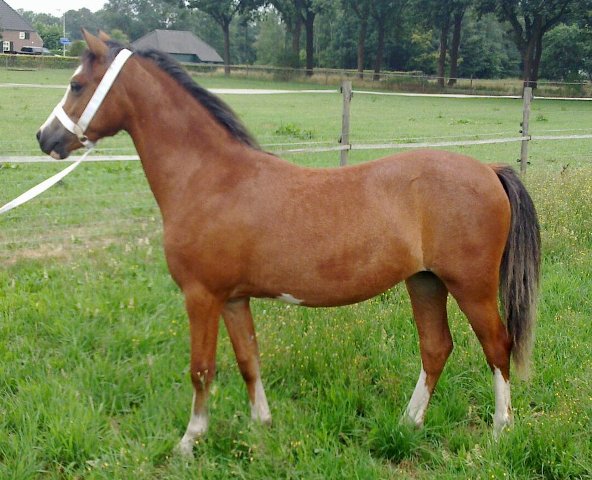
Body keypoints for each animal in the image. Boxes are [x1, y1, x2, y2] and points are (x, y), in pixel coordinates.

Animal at [37, 31, 540, 456]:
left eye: (77, 84)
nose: (45, 138)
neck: (210, 178)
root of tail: (489, 169)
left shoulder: (201, 296)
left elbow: (201, 369)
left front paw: (188, 441)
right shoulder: (233, 299)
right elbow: (248, 360)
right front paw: (261, 425)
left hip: (470, 286)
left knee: (497, 346)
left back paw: (499, 432)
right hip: (425, 282)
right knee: (436, 348)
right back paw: (407, 423)